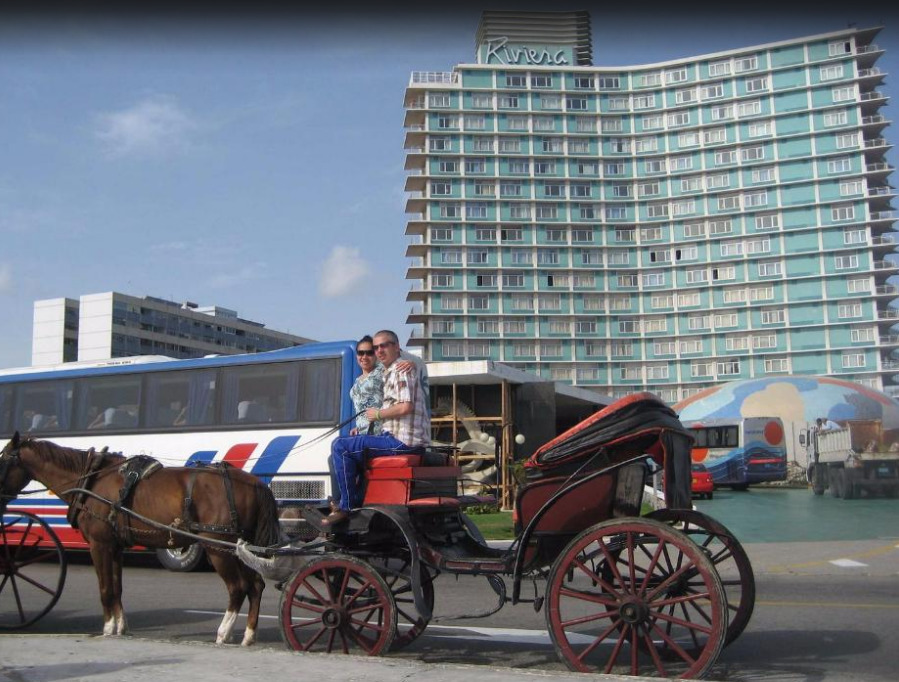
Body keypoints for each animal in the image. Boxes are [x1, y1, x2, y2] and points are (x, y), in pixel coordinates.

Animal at [0, 432, 282, 644]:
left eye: (2, 459)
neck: (91, 481)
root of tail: (254, 482)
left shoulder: (99, 545)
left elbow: (105, 588)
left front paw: (107, 628)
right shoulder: (115, 547)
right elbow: (116, 587)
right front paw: (120, 626)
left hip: (217, 546)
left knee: (237, 587)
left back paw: (224, 632)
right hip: (240, 547)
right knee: (255, 585)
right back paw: (249, 634)